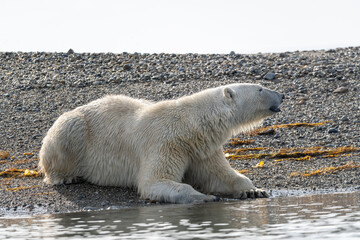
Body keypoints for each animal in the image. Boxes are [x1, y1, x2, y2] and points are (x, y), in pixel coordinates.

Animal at [39, 83, 284, 203]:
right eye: (260, 88)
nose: (281, 95)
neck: (190, 125)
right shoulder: (165, 142)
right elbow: (155, 181)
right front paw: (204, 196)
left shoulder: (202, 149)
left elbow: (219, 175)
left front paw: (253, 190)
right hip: (74, 129)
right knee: (67, 133)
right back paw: (67, 177)